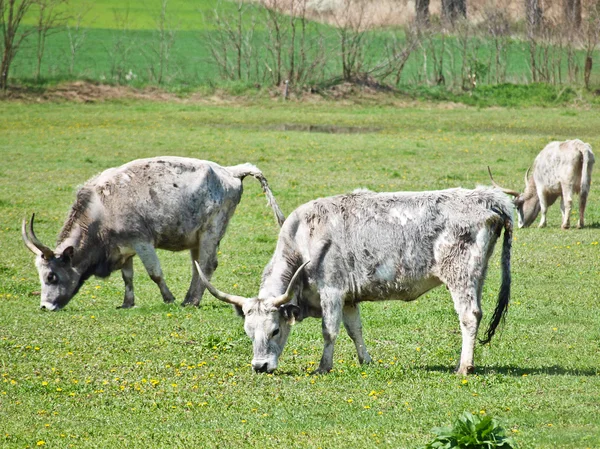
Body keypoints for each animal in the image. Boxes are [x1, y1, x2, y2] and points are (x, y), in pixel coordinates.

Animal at [22, 158, 284, 312]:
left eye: (52, 276)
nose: (44, 306)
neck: (101, 208)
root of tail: (229, 171)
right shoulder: (124, 249)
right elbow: (127, 277)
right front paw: (127, 303)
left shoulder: (142, 242)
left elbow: (154, 273)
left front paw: (168, 298)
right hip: (197, 238)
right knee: (198, 267)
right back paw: (191, 298)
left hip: (211, 232)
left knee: (207, 265)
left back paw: (191, 301)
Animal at [196, 186, 510, 374]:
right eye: (249, 332)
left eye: (275, 330)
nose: (260, 366)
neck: (303, 240)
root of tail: (487, 198)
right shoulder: (348, 298)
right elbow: (354, 330)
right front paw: (365, 360)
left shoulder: (332, 291)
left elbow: (330, 331)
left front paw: (323, 367)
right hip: (477, 276)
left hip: (460, 277)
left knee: (469, 317)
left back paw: (464, 367)